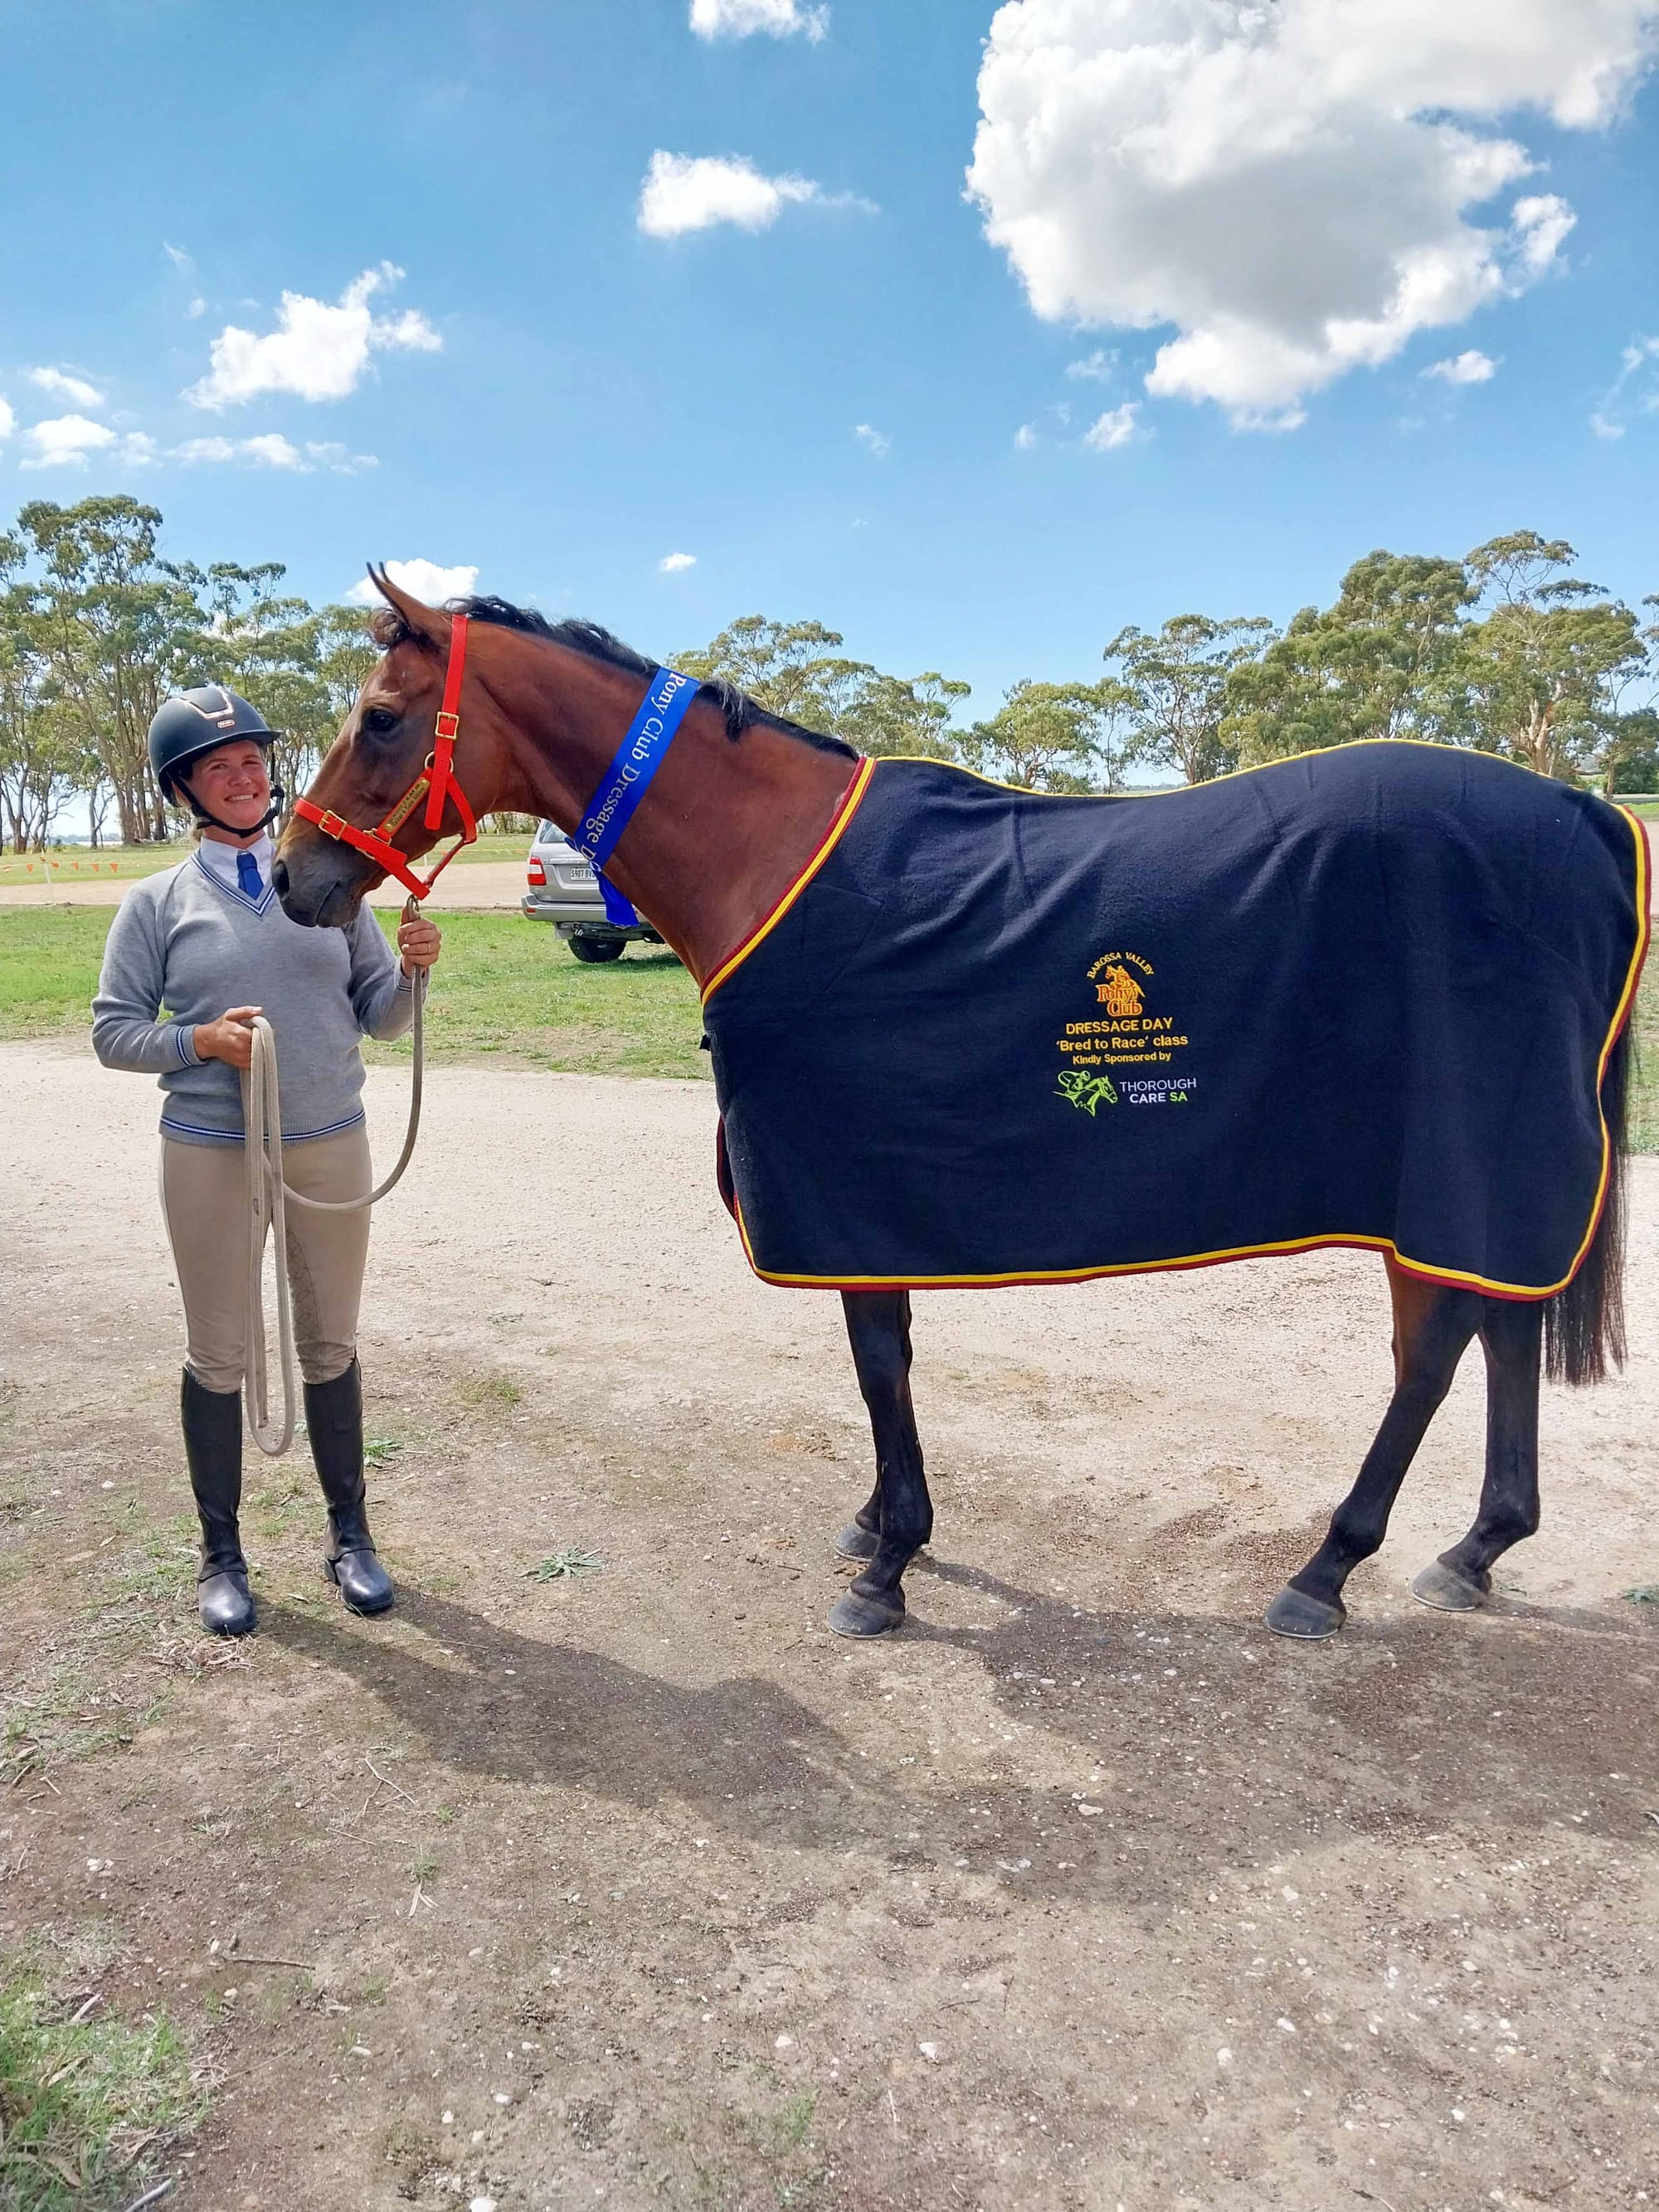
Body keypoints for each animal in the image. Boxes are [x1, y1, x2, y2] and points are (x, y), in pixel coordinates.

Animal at [274, 570, 1646, 1644]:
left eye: (381, 717)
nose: (292, 876)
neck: (768, 860)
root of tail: (1586, 813)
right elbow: (887, 1366)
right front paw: (880, 1528)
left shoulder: (847, 1192)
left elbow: (880, 1362)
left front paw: (889, 1562)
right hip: (1492, 1167)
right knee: (1504, 1320)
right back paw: (1475, 1547)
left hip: (1447, 1166)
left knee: (1434, 1351)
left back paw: (1327, 1568)